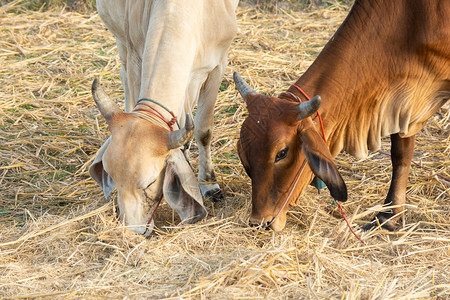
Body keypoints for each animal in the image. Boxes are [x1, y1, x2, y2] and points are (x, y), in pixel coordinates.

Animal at [90, 0, 239, 236]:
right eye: (112, 177)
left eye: (149, 183)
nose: (133, 231)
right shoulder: (135, 56)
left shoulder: (217, 66)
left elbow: (204, 131)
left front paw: (209, 184)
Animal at [234, 0, 448, 232]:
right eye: (244, 152)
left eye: (281, 153)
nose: (259, 222)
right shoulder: (403, 102)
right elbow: (401, 153)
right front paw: (389, 215)